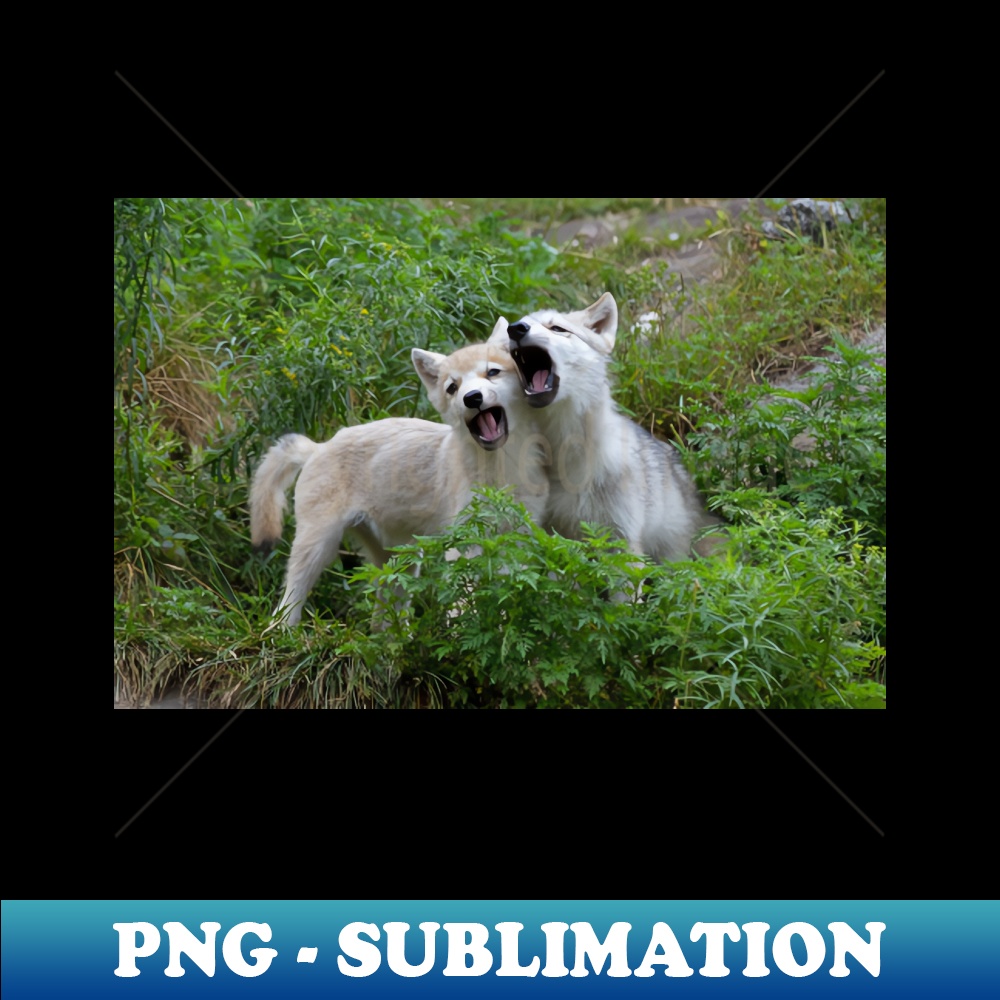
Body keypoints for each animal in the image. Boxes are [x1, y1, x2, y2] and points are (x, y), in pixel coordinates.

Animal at [250, 318, 548, 625]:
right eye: (452, 388)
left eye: (492, 372)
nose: (472, 398)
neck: (502, 472)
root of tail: (317, 447)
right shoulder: (465, 541)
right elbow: (464, 604)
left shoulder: (518, 537)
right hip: (318, 549)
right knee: (286, 606)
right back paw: (285, 633)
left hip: (397, 563)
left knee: (382, 622)